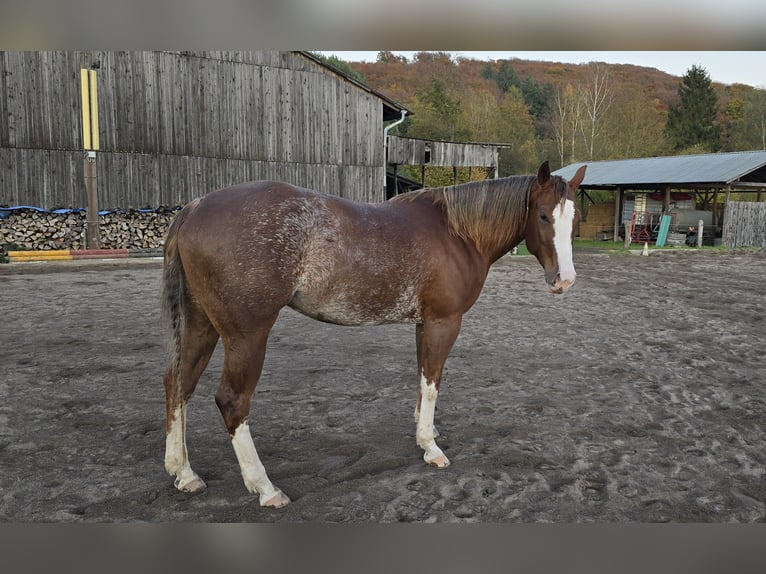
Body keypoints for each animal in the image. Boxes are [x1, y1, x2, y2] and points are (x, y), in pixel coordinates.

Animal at [161, 160, 586, 508]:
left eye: (574, 219)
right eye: (544, 215)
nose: (564, 280)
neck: (457, 233)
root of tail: (196, 208)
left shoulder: (424, 322)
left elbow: (423, 378)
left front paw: (425, 430)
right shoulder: (444, 322)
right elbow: (433, 381)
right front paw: (431, 447)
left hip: (201, 325)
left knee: (179, 384)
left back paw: (184, 473)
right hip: (247, 336)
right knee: (232, 401)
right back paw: (265, 488)